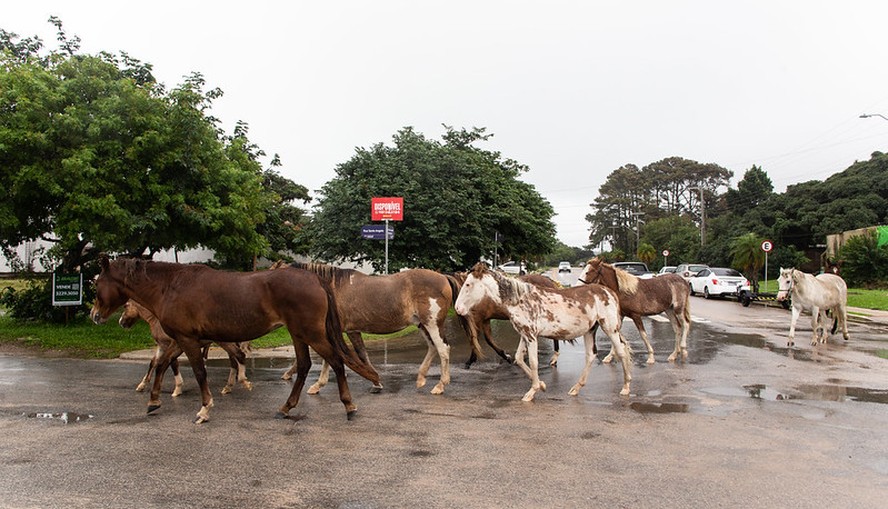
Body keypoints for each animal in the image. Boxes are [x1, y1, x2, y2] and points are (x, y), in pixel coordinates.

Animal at [116, 300, 251, 398]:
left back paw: (231, 385)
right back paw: (229, 387)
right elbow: (154, 363)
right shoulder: (162, 346)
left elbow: (172, 364)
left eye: (125, 306)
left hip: (225, 342)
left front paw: (177, 389)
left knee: (235, 358)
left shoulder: (171, 345)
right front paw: (142, 385)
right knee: (235, 359)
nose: (121, 322)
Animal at [280, 262, 464, 396]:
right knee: (433, 347)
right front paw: (376, 382)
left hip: (432, 324)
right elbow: (362, 354)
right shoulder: (352, 331)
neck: (331, 289)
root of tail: (443, 276)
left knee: (443, 349)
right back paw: (421, 378)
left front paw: (317, 385)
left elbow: (330, 357)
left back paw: (440, 385)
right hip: (422, 325)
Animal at [458, 262, 632, 400]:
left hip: (610, 329)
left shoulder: (531, 336)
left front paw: (531, 392)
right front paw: (541, 385)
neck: (520, 300)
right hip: (590, 331)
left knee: (621, 352)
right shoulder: (524, 335)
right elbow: (519, 358)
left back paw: (626, 387)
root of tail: (610, 292)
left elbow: (533, 362)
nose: (458, 308)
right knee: (591, 356)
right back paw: (576, 388)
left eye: (468, 284)